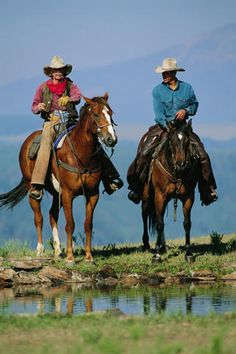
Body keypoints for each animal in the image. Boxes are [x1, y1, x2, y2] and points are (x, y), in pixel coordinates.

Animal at [0, 92, 117, 262]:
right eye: (95, 114)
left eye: (111, 113)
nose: (111, 139)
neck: (81, 155)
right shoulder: (68, 193)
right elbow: (70, 224)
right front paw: (70, 258)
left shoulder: (92, 193)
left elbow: (88, 224)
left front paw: (88, 257)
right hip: (33, 187)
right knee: (39, 218)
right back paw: (40, 250)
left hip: (57, 194)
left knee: (52, 215)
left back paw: (57, 250)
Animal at [142, 121, 199, 260]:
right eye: (172, 141)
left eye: (187, 141)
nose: (181, 164)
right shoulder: (160, 196)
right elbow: (159, 224)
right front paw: (156, 255)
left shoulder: (189, 197)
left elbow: (187, 223)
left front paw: (188, 253)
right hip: (147, 196)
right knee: (145, 214)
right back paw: (147, 244)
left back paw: (163, 245)